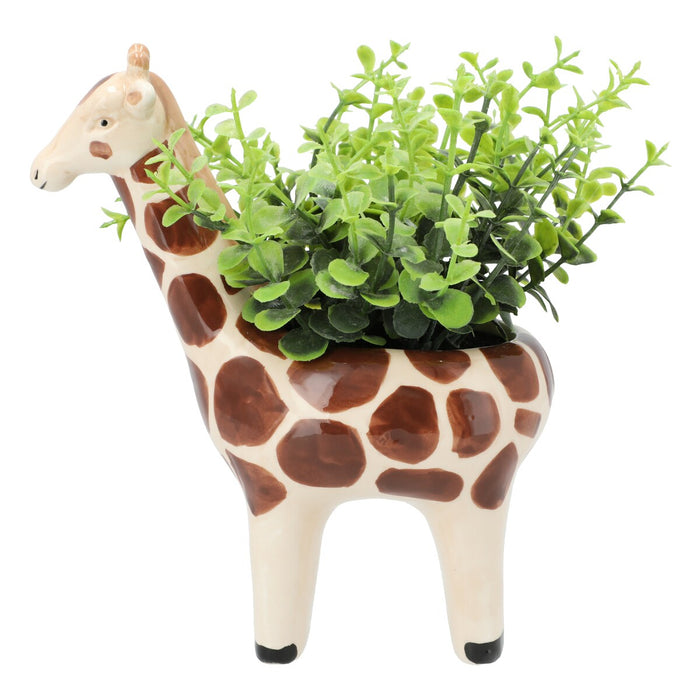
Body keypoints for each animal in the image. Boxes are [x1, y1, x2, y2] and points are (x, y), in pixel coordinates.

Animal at [30, 44, 554, 665]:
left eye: (104, 122)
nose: (38, 171)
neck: (235, 336)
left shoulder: (271, 493)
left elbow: (275, 613)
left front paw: (275, 657)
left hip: (484, 489)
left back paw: (481, 650)